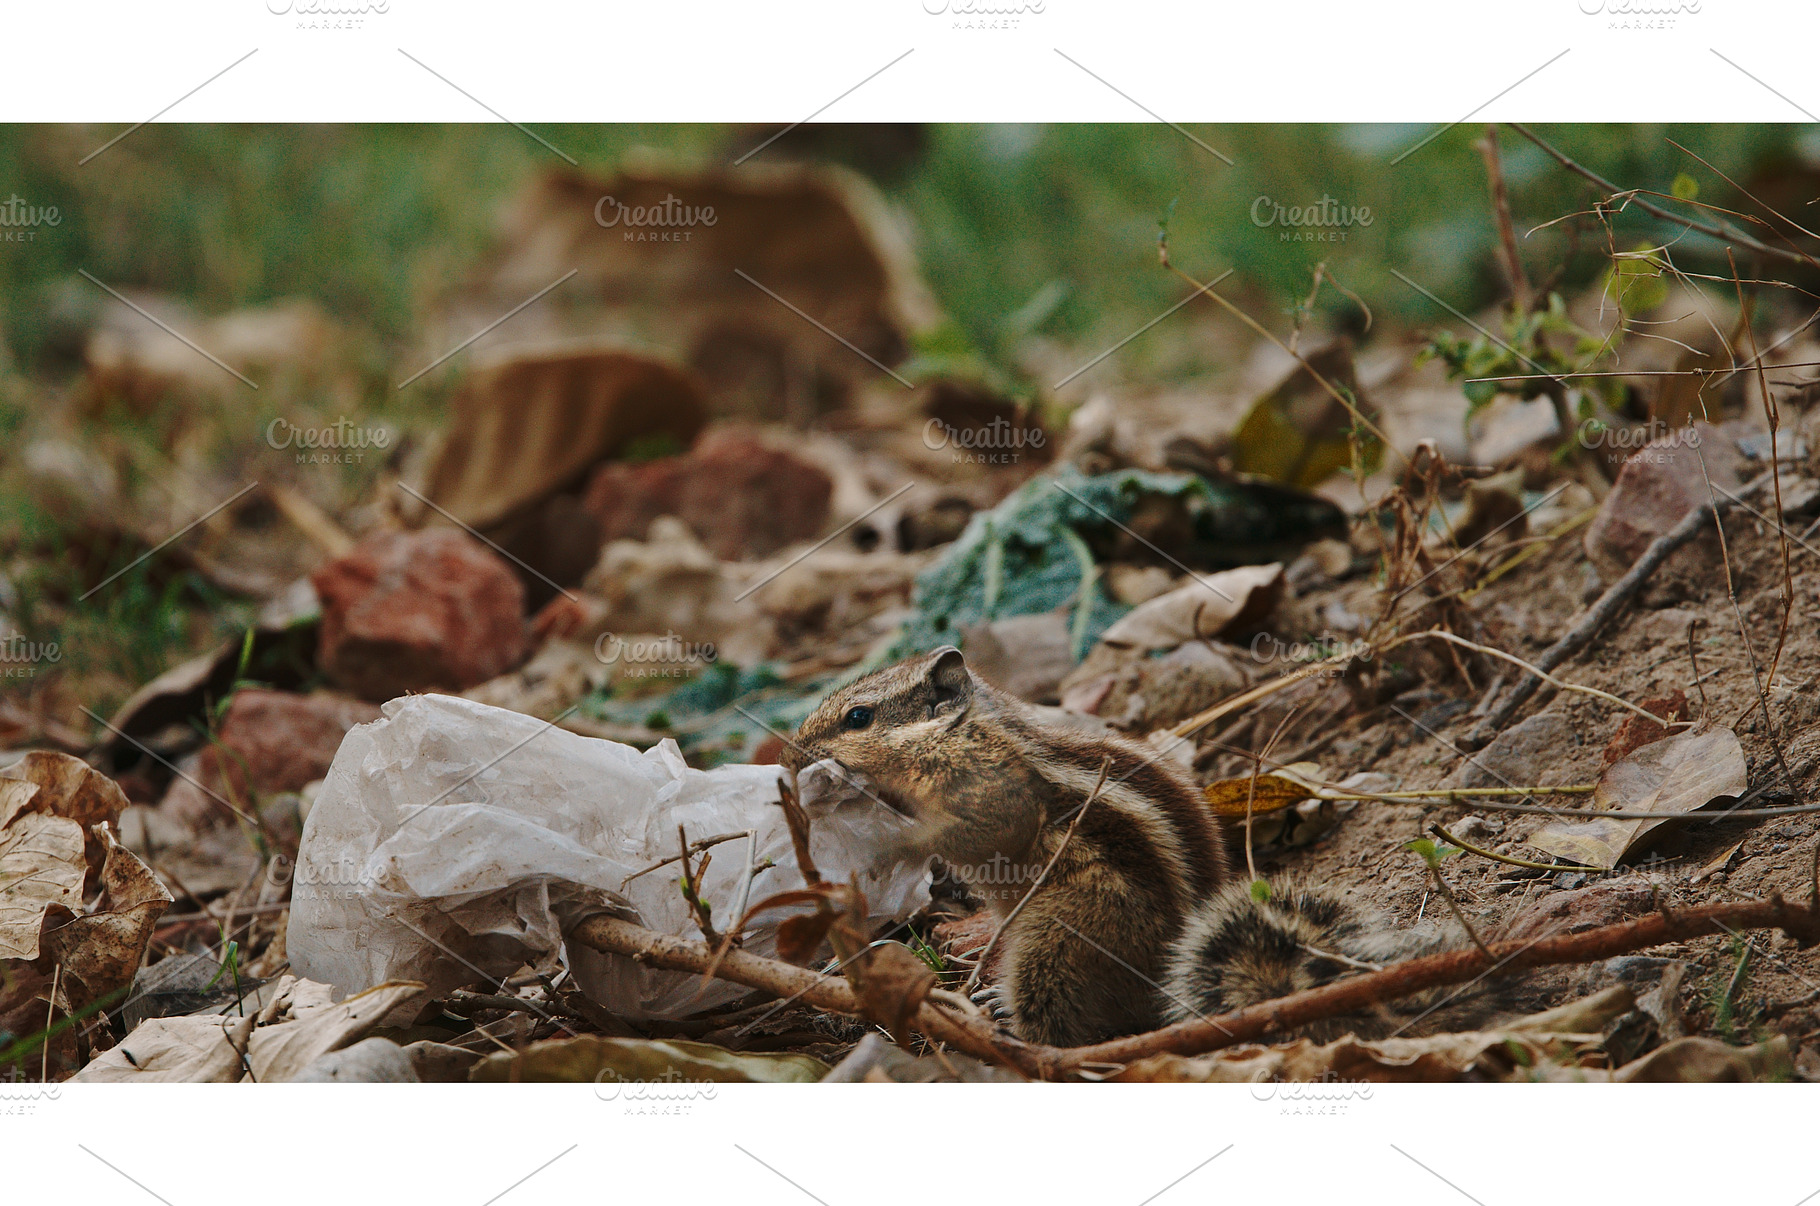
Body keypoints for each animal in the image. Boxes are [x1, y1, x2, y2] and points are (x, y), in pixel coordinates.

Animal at [781, 645, 1469, 1047]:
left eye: (859, 718)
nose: (791, 755)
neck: (964, 730)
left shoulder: (986, 785)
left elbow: (976, 827)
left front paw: (884, 830)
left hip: (1060, 939)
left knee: (1061, 1018)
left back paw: (1013, 1026)